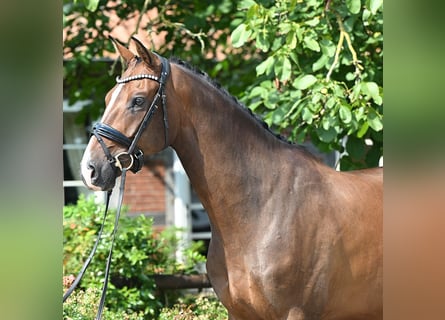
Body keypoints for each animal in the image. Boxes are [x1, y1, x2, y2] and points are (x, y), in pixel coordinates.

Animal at [80, 36, 382, 318]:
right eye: (108, 98)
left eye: (138, 100)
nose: (89, 168)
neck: (264, 206)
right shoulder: (236, 312)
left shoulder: (296, 313)